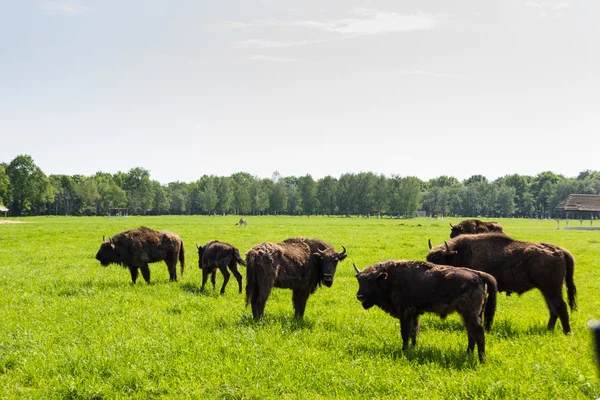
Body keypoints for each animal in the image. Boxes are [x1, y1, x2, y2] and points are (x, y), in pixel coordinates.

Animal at [352, 260, 496, 362]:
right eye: (359, 279)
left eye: (370, 280)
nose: (360, 296)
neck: (389, 278)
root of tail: (478, 274)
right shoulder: (414, 314)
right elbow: (414, 332)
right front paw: (413, 348)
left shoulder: (405, 313)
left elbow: (405, 333)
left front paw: (404, 351)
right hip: (467, 315)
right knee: (471, 334)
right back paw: (468, 354)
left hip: (470, 314)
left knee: (478, 333)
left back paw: (481, 360)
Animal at [426, 234, 576, 334]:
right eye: (428, 258)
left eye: (439, 260)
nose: (431, 273)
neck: (463, 252)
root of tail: (560, 250)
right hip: (546, 290)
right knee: (553, 309)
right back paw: (549, 329)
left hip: (552, 288)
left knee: (560, 307)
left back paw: (567, 332)